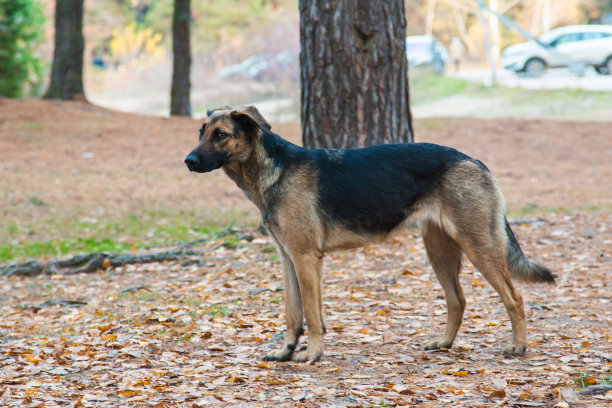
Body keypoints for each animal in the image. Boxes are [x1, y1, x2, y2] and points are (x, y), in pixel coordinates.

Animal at [183, 106, 556, 364]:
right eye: (201, 132)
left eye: (220, 135)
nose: (188, 161)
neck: (274, 170)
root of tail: (476, 161)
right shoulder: (288, 260)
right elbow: (293, 314)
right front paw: (286, 352)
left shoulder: (306, 260)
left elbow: (313, 317)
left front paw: (312, 355)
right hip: (439, 252)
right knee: (458, 300)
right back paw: (445, 344)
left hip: (479, 247)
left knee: (514, 297)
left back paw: (519, 346)